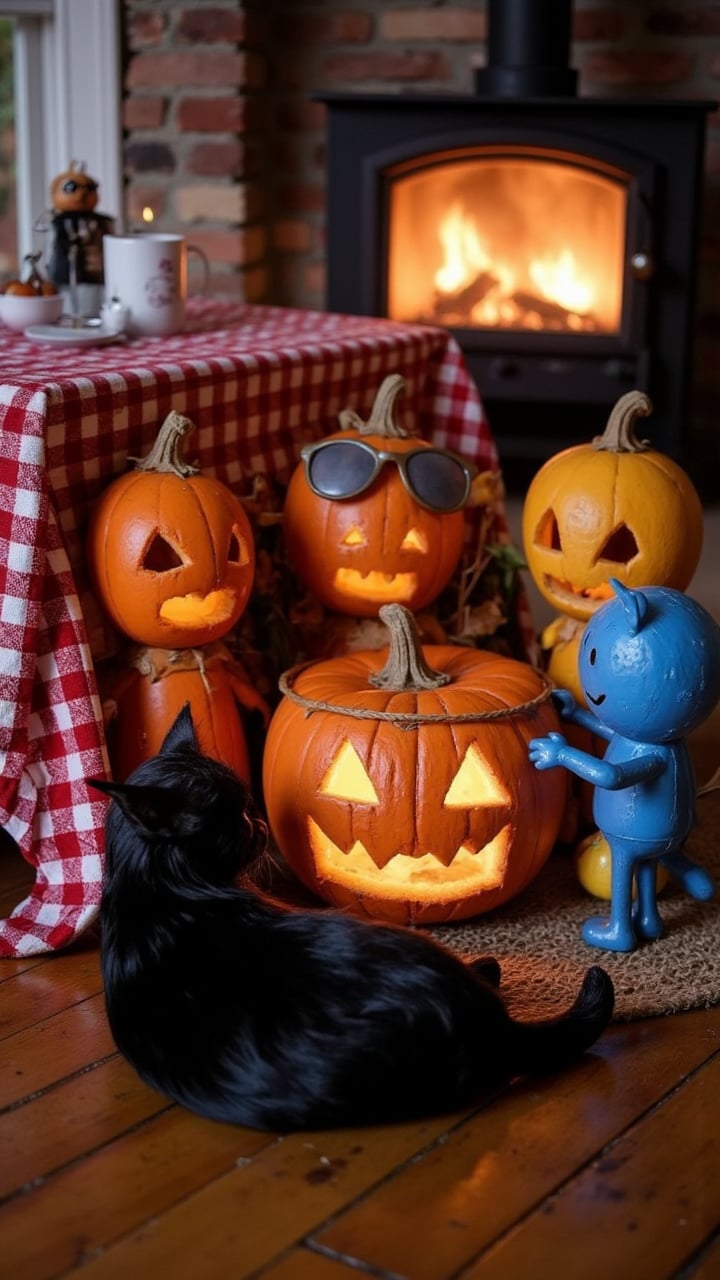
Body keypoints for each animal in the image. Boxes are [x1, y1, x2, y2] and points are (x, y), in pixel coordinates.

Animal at [90, 706, 609, 1136]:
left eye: (245, 806)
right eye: (232, 820)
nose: (259, 822)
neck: (149, 882)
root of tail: (486, 1030)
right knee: (488, 970)